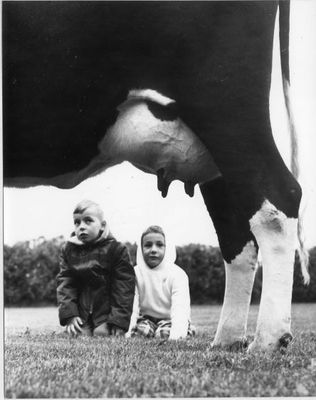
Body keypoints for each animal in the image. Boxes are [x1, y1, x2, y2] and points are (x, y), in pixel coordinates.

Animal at [2, 0, 308, 352]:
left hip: (225, 106)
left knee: (279, 199)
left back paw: (267, 342)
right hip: (216, 156)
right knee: (236, 236)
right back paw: (226, 341)